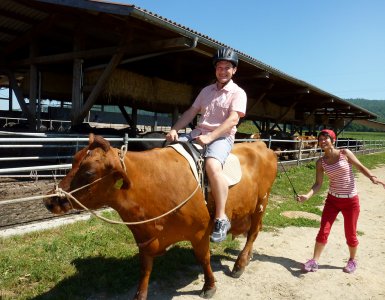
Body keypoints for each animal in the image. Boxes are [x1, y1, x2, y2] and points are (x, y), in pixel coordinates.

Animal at [43, 134, 276, 300]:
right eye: (73, 161)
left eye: (89, 172)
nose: (50, 200)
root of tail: (261, 146)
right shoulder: (144, 237)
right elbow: (145, 268)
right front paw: (140, 296)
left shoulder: (201, 231)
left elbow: (204, 258)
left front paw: (209, 286)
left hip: (261, 203)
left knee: (253, 232)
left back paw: (240, 263)